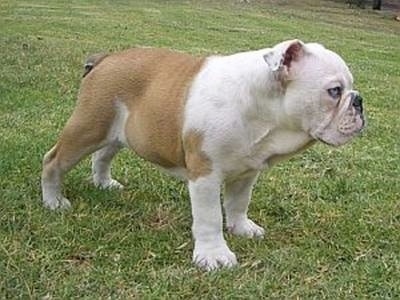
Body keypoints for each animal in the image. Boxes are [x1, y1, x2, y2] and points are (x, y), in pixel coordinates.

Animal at [41, 38, 366, 270]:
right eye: (335, 91)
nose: (359, 101)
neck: (262, 108)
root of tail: (106, 58)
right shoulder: (205, 175)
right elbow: (209, 217)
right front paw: (214, 255)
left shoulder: (247, 172)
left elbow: (238, 203)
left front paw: (241, 228)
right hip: (89, 128)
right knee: (53, 160)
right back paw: (54, 201)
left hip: (119, 133)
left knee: (103, 156)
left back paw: (104, 184)